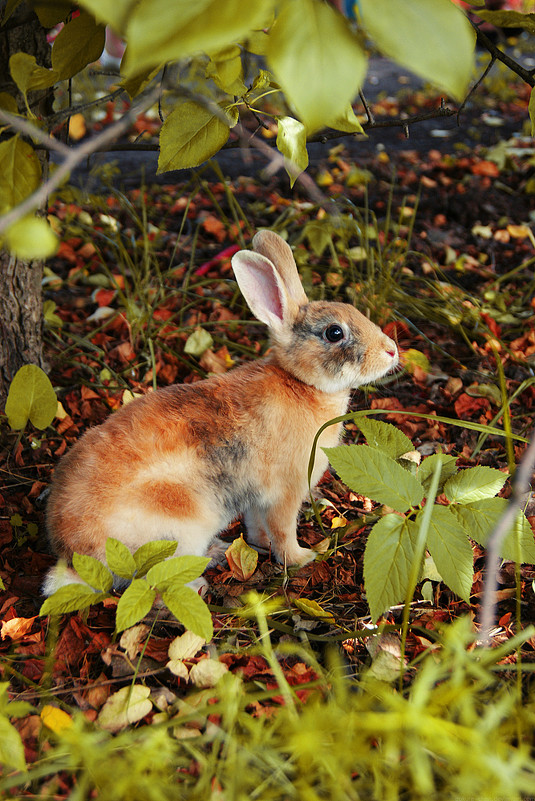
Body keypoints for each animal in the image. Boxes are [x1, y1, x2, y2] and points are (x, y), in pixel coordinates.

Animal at [43, 230, 398, 592]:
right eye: (334, 333)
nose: (392, 351)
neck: (300, 383)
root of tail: (77, 557)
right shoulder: (285, 493)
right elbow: (283, 530)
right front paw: (301, 558)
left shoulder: (257, 500)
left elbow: (257, 526)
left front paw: (261, 546)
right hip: (176, 526)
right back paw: (198, 584)